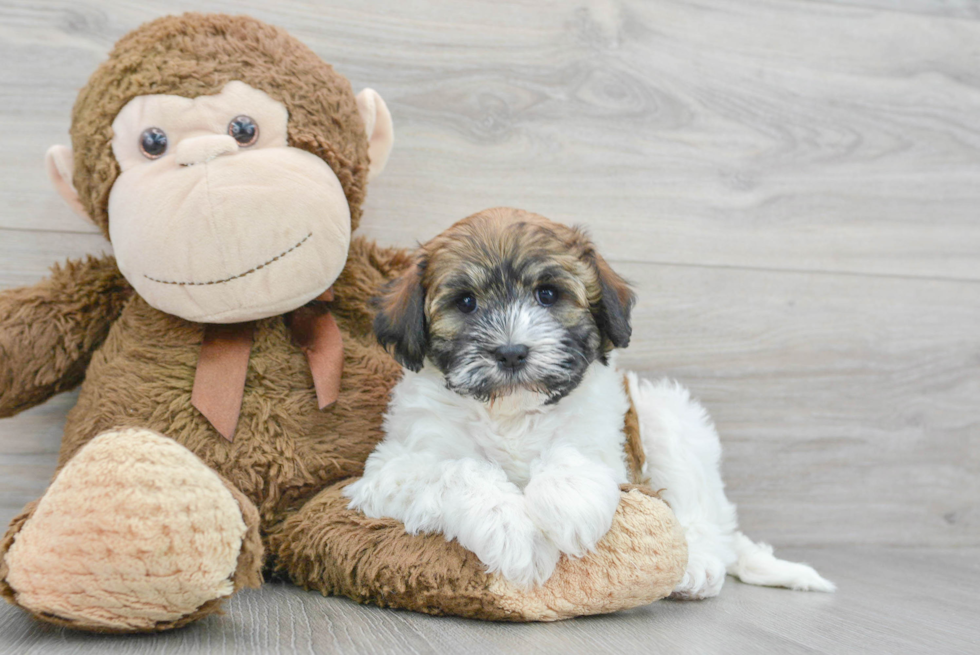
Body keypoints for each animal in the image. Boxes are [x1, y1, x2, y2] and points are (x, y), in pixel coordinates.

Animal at [346, 208, 836, 596]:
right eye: (465, 302)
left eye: (547, 294)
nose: (511, 352)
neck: (511, 413)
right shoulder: (392, 468)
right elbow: (457, 471)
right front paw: (514, 533)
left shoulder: (606, 438)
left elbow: (573, 453)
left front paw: (566, 508)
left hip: (667, 420)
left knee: (703, 516)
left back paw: (697, 566)